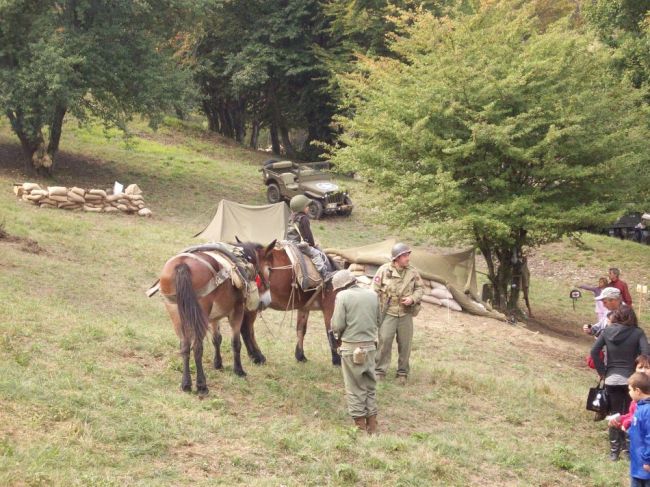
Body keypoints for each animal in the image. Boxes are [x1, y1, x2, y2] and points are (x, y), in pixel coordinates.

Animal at [157, 242, 266, 394]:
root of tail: (182, 265)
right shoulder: (237, 312)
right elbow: (236, 343)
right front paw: (238, 370)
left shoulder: (213, 318)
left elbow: (217, 339)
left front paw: (218, 363)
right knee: (197, 347)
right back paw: (202, 385)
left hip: (176, 315)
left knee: (185, 346)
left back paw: (186, 384)